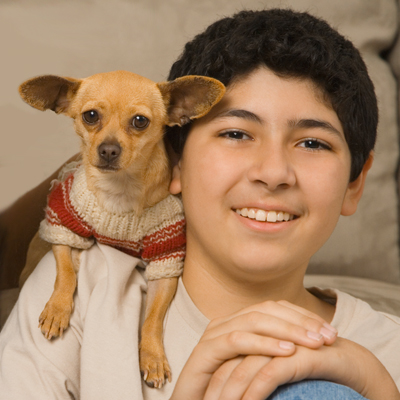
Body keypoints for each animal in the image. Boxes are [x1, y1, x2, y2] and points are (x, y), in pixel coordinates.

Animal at [18, 69, 225, 388]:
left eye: (140, 121)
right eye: (90, 116)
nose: (108, 150)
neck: (121, 191)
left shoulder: (165, 262)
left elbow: (152, 319)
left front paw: (152, 356)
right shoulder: (63, 226)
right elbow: (65, 273)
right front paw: (57, 309)